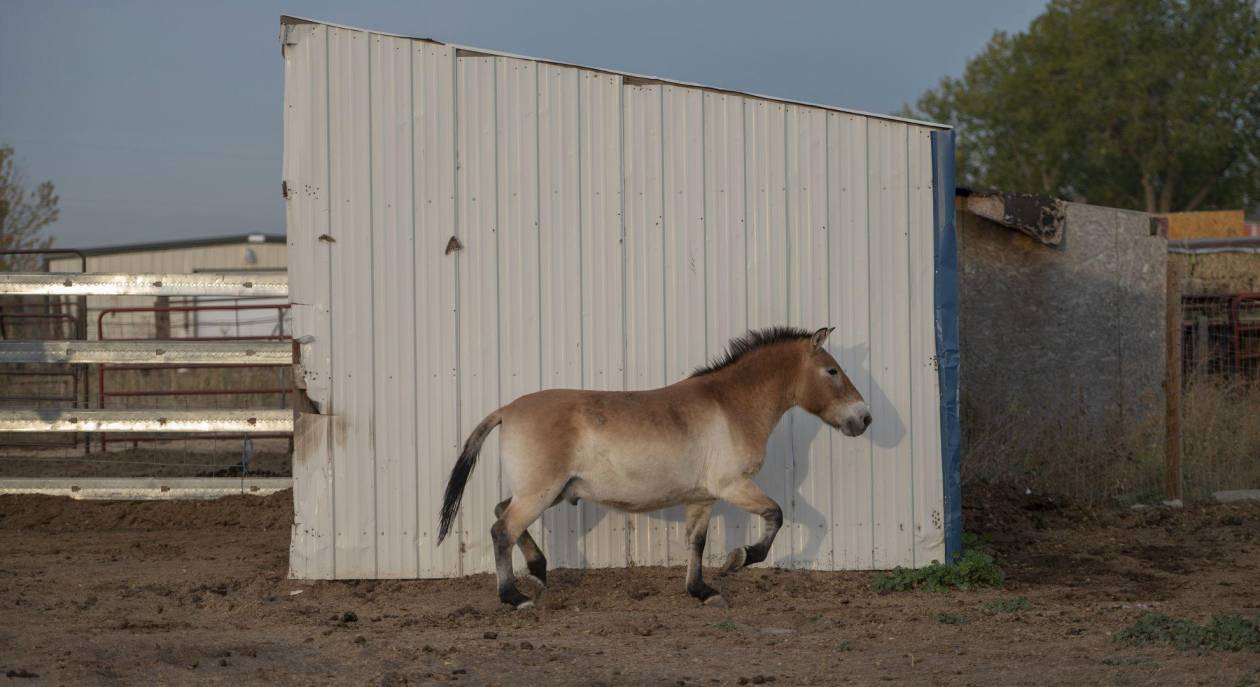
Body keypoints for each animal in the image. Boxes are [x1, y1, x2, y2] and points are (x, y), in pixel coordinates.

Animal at [435, 325, 866, 607]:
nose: (864, 419)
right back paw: (514, 596)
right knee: (502, 529)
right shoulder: (733, 487)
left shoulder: (703, 498)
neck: (730, 405)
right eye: (832, 371)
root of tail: (506, 410)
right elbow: (776, 515)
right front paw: (739, 559)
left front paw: (702, 591)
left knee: (501, 513)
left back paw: (539, 571)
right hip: (540, 492)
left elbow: (697, 542)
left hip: (550, 491)